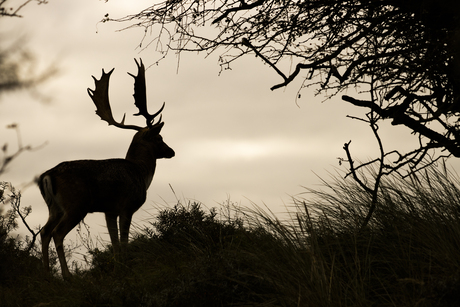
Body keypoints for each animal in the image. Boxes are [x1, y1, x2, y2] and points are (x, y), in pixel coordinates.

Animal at [37, 59, 174, 280]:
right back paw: (67, 276)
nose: (171, 151)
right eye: (159, 138)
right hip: (76, 204)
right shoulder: (127, 205)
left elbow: (114, 242)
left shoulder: (109, 210)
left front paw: (118, 269)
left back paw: (47, 274)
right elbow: (124, 241)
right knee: (57, 233)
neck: (141, 173)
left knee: (44, 231)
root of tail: (47, 175)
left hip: (54, 207)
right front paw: (126, 269)